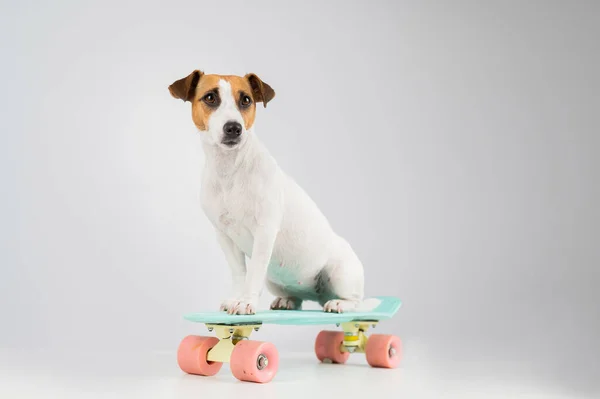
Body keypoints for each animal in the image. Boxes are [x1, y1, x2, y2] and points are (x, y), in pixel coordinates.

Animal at [168, 71, 366, 316]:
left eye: (246, 100)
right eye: (210, 97)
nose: (234, 127)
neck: (231, 170)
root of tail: (317, 296)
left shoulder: (264, 231)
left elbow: (253, 272)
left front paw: (246, 302)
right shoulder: (224, 236)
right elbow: (239, 273)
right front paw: (236, 298)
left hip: (341, 273)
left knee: (356, 301)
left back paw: (340, 303)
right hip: (278, 282)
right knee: (298, 298)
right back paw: (288, 300)